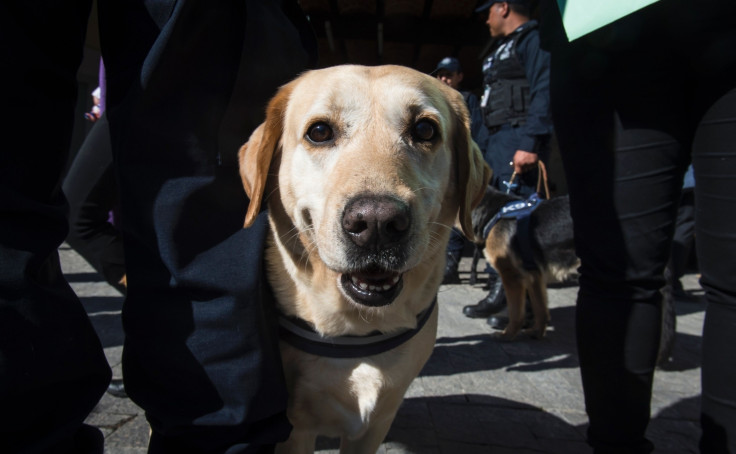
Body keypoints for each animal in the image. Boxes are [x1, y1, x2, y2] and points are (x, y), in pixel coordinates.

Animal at [240, 64, 488, 454]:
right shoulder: (294, 430)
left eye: (425, 129)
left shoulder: (377, 424)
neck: (357, 331)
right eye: (319, 132)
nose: (376, 224)